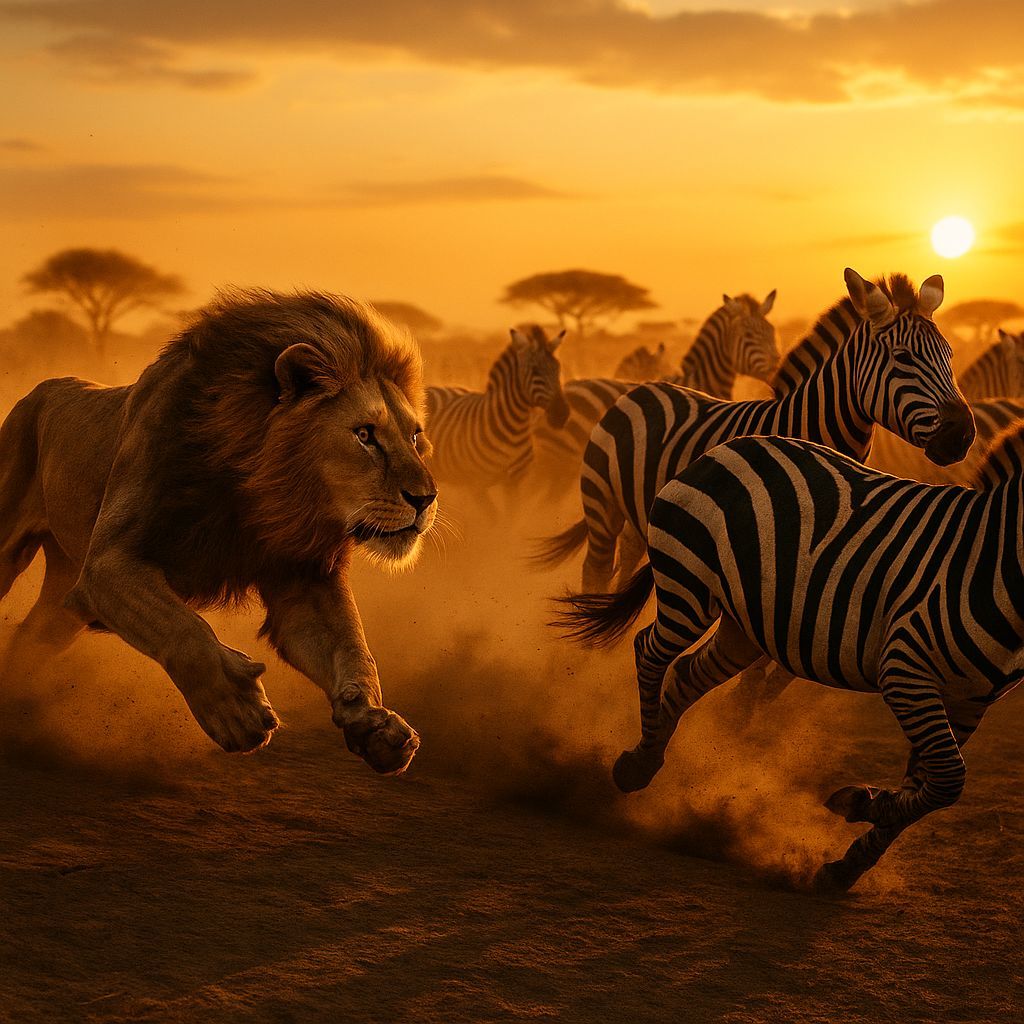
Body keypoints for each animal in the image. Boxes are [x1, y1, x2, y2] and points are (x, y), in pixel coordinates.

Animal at [0, 289, 437, 774]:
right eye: (364, 435)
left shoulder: (303, 576)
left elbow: (352, 646)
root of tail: (42, 387)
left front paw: (377, 724)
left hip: (65, 595)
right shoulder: (108, 564)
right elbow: (184, 629)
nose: (426, 499)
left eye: (415, 438)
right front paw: (235, 710)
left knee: (29, 639)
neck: (262, 488)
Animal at [426, 326, 569, 499]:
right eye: (535, 371)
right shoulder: (476, 485)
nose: (562, 414)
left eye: (558, 368)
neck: (514, 429)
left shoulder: (514, 483)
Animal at [556, 424, 1024, 892]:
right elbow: (948, 781)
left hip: (743, 626)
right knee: (648, 651)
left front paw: (846, 867)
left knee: (688, 672)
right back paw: (638, 764)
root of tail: (729, 446)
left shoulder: (968, 703)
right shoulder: (905, 670)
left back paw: (653, 757)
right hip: (689, 583)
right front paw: (860, 805)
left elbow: (933, 785)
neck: (993, 565)